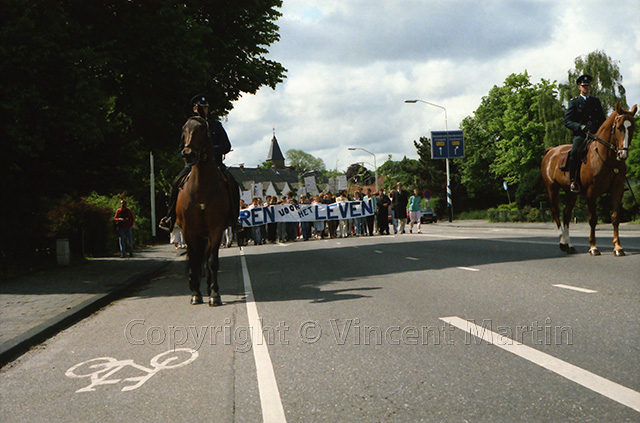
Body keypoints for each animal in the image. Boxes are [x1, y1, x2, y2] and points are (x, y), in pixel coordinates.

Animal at [175, 117, 232, 304]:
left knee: (206, 259)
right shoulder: (188, 230)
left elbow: (212, 261)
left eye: (202, 130)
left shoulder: (216, 229)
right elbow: (194, 259)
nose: (187, 153)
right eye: (184, 129)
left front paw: (214, 294)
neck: (202, 187)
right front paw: (195, 293)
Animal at [540, 102, 636, 256]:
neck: (606, 157)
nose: (623, 154)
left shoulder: (617, 190)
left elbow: (615, 218)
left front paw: (617, 247)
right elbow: (593, 220)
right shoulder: (591, 193)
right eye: (619, 127)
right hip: (552, 189)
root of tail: (551, 150)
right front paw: (593, 247)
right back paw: (563, 242)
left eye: (632, 127)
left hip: (571, 193)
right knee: (556, 213)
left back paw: (569, 246)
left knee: (566, 215)